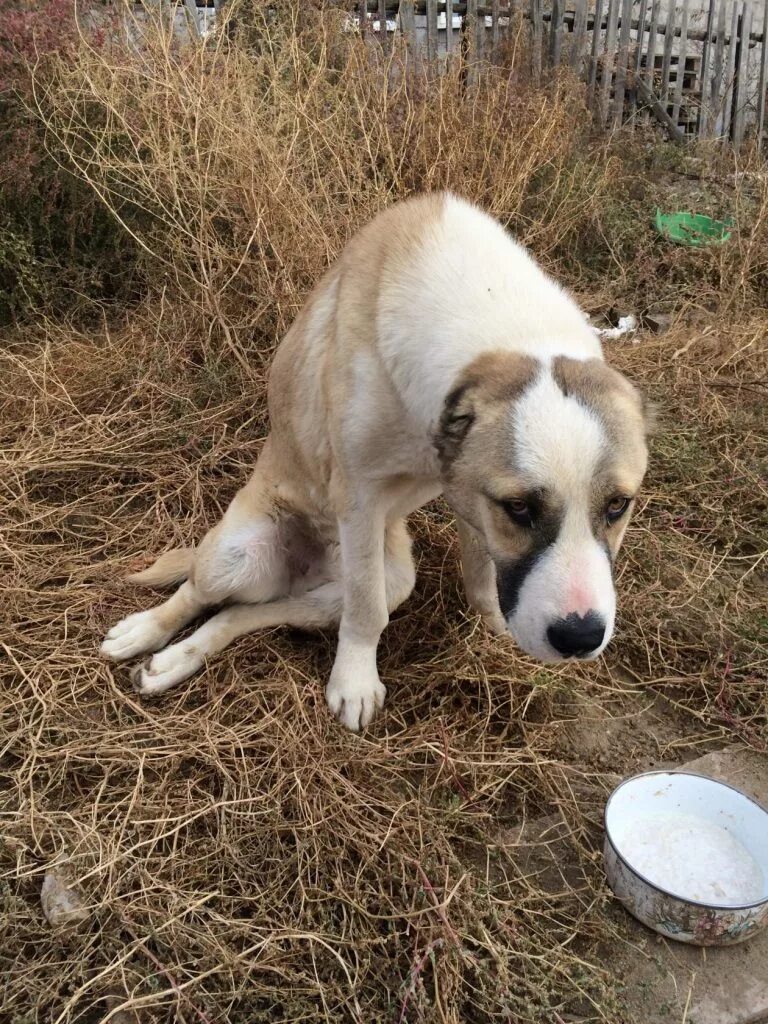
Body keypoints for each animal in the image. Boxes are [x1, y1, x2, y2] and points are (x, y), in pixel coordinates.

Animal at [100, 193, 651, 729]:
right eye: (519, 508)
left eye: (618, 505)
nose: (580, 639)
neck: (508, 332)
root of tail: (306, 568)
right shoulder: (363, 499)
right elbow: (365, 615)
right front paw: (355, 684)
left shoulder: (467, 496)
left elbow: (478, 573)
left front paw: (492, 624)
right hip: (238, 555)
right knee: (198, 591)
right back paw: (145, 633)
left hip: (388, 582)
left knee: (248, 612)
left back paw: (177, 660)